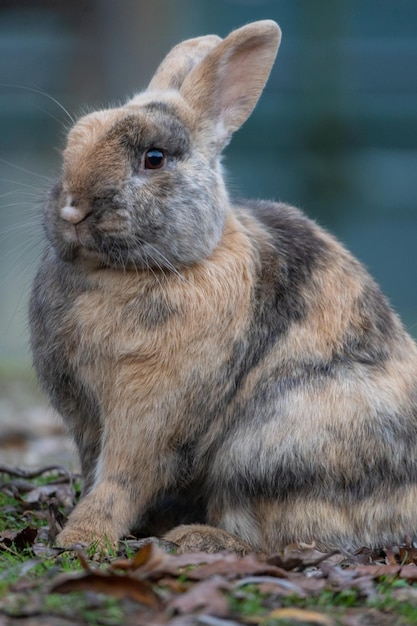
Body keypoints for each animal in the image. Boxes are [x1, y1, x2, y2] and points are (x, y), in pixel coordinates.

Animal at [30, 19, 417, 552]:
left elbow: (124, 477)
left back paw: (195, 538)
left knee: (284, 536)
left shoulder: (152, 413)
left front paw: (82, 538)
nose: (72, 209)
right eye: (75, 138)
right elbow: (96, 470)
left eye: (154, 158)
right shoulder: (85, 418)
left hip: (269, 448)